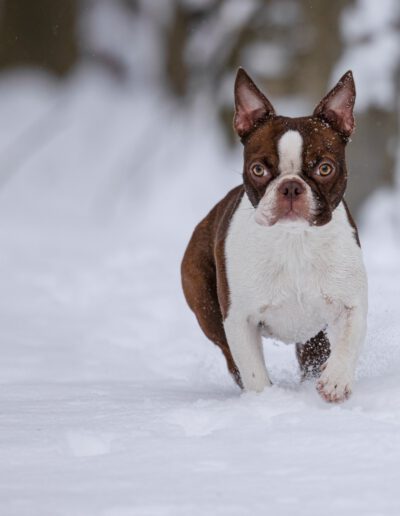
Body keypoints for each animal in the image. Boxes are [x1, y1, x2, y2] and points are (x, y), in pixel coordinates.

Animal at [183, 67, 368, 404]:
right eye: (258, 169)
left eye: (324, 168)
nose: (291, 186)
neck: (294, 241)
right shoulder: (239, 319)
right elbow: (253, 370)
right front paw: (264, 400)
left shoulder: (350, 303)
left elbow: (348, 343)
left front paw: (335, 381)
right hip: (207, 308)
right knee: (232, 360)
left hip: (313, 337)